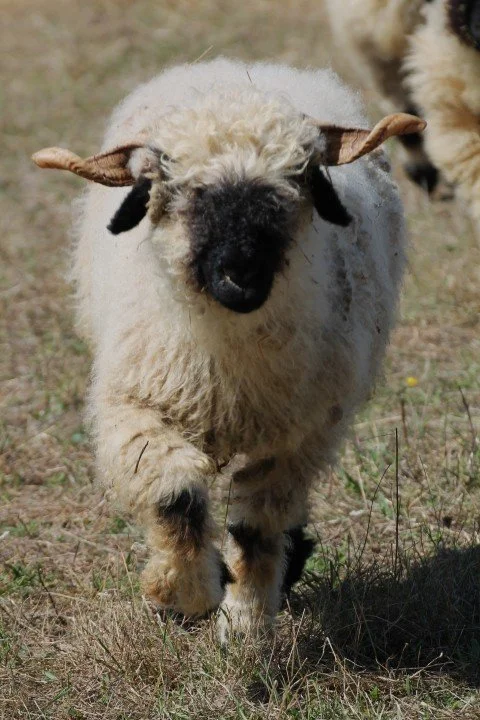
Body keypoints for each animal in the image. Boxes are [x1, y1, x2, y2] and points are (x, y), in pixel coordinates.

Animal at [32, 58, 424, 641]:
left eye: (297, 178)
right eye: (175, 188)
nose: (242, 274)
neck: (228, 357)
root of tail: (244, 68)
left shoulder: (296, 437)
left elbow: (255, 527)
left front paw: (245, 620)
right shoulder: (136, 408)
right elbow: (176, 497)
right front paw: (183, 594)